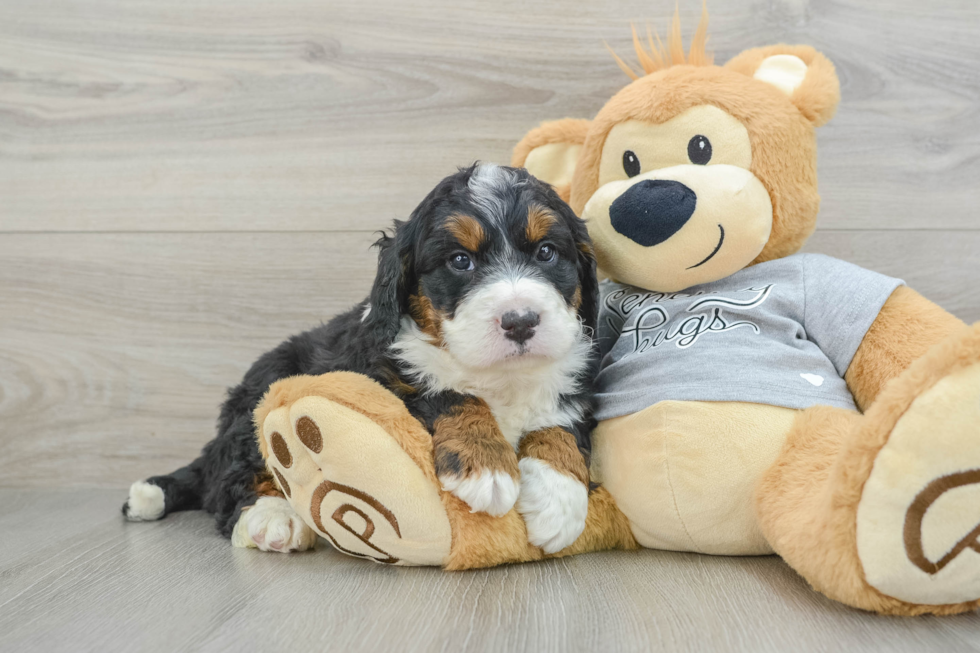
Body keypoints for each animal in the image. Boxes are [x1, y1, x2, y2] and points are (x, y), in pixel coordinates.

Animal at [122, 164, 596, 556]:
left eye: (546, 253)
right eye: (460, 261)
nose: (520, 321)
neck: (499, 376)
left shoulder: (572, 382)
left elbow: (560, 425)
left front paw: (559, 501)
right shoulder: (378, 377)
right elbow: (447, 393)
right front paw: (486, 464)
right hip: (264, 390)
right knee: (232, 482)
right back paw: (274, 517)